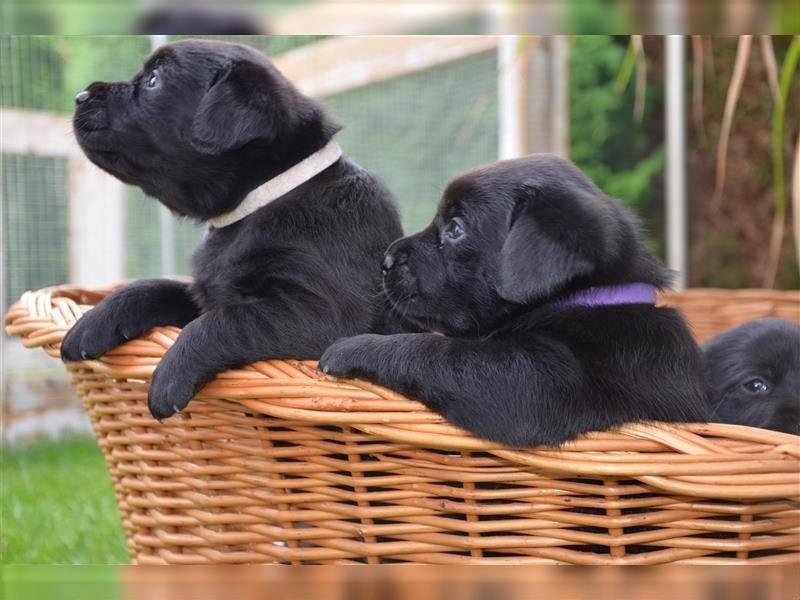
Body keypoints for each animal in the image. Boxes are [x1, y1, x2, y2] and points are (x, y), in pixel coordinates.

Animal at [63, 39, 404, 420]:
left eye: (153, 80)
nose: (80, 96)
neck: (258, 204)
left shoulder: (321, 316)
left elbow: (224, 321)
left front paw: (170, 375)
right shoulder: (205, 294)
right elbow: (154, 288)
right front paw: (93, 321)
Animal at [318, 154, 708, 446]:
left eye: (455, 228)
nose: (384, 260)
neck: (582, 300)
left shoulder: (535, 385)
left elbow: (434, 349)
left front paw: (355, 347)